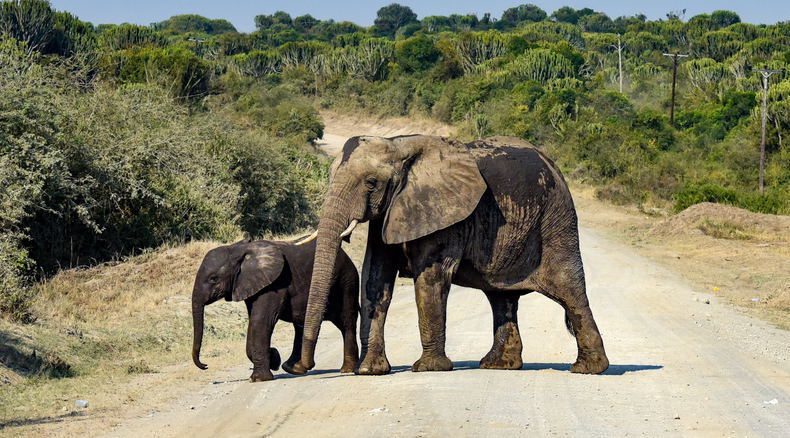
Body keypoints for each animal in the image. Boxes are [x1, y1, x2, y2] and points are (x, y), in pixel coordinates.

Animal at [191, 239, 359, 382]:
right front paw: (274, 358)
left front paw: (260, 378)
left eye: (213, 279)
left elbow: (261, 321)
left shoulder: (275, 283)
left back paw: (347, 369)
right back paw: (293, 369)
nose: (205, 365)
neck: (240, 250)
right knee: (302, 325)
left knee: (346, 322)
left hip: (347, 281)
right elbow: (253, 322)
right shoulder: (251, 284)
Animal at [291, 135, 608, 376]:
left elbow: (431, 278)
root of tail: (554, 166)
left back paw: (588, 369)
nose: (301, 368)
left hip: (556, 221)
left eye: (371, 182)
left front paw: (428, 368)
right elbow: (375, 276)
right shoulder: (390, 212)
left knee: (568, 289)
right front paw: (369, 371)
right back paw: (498, 365)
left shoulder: (442, 214)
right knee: (501, 297)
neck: (398, 145)